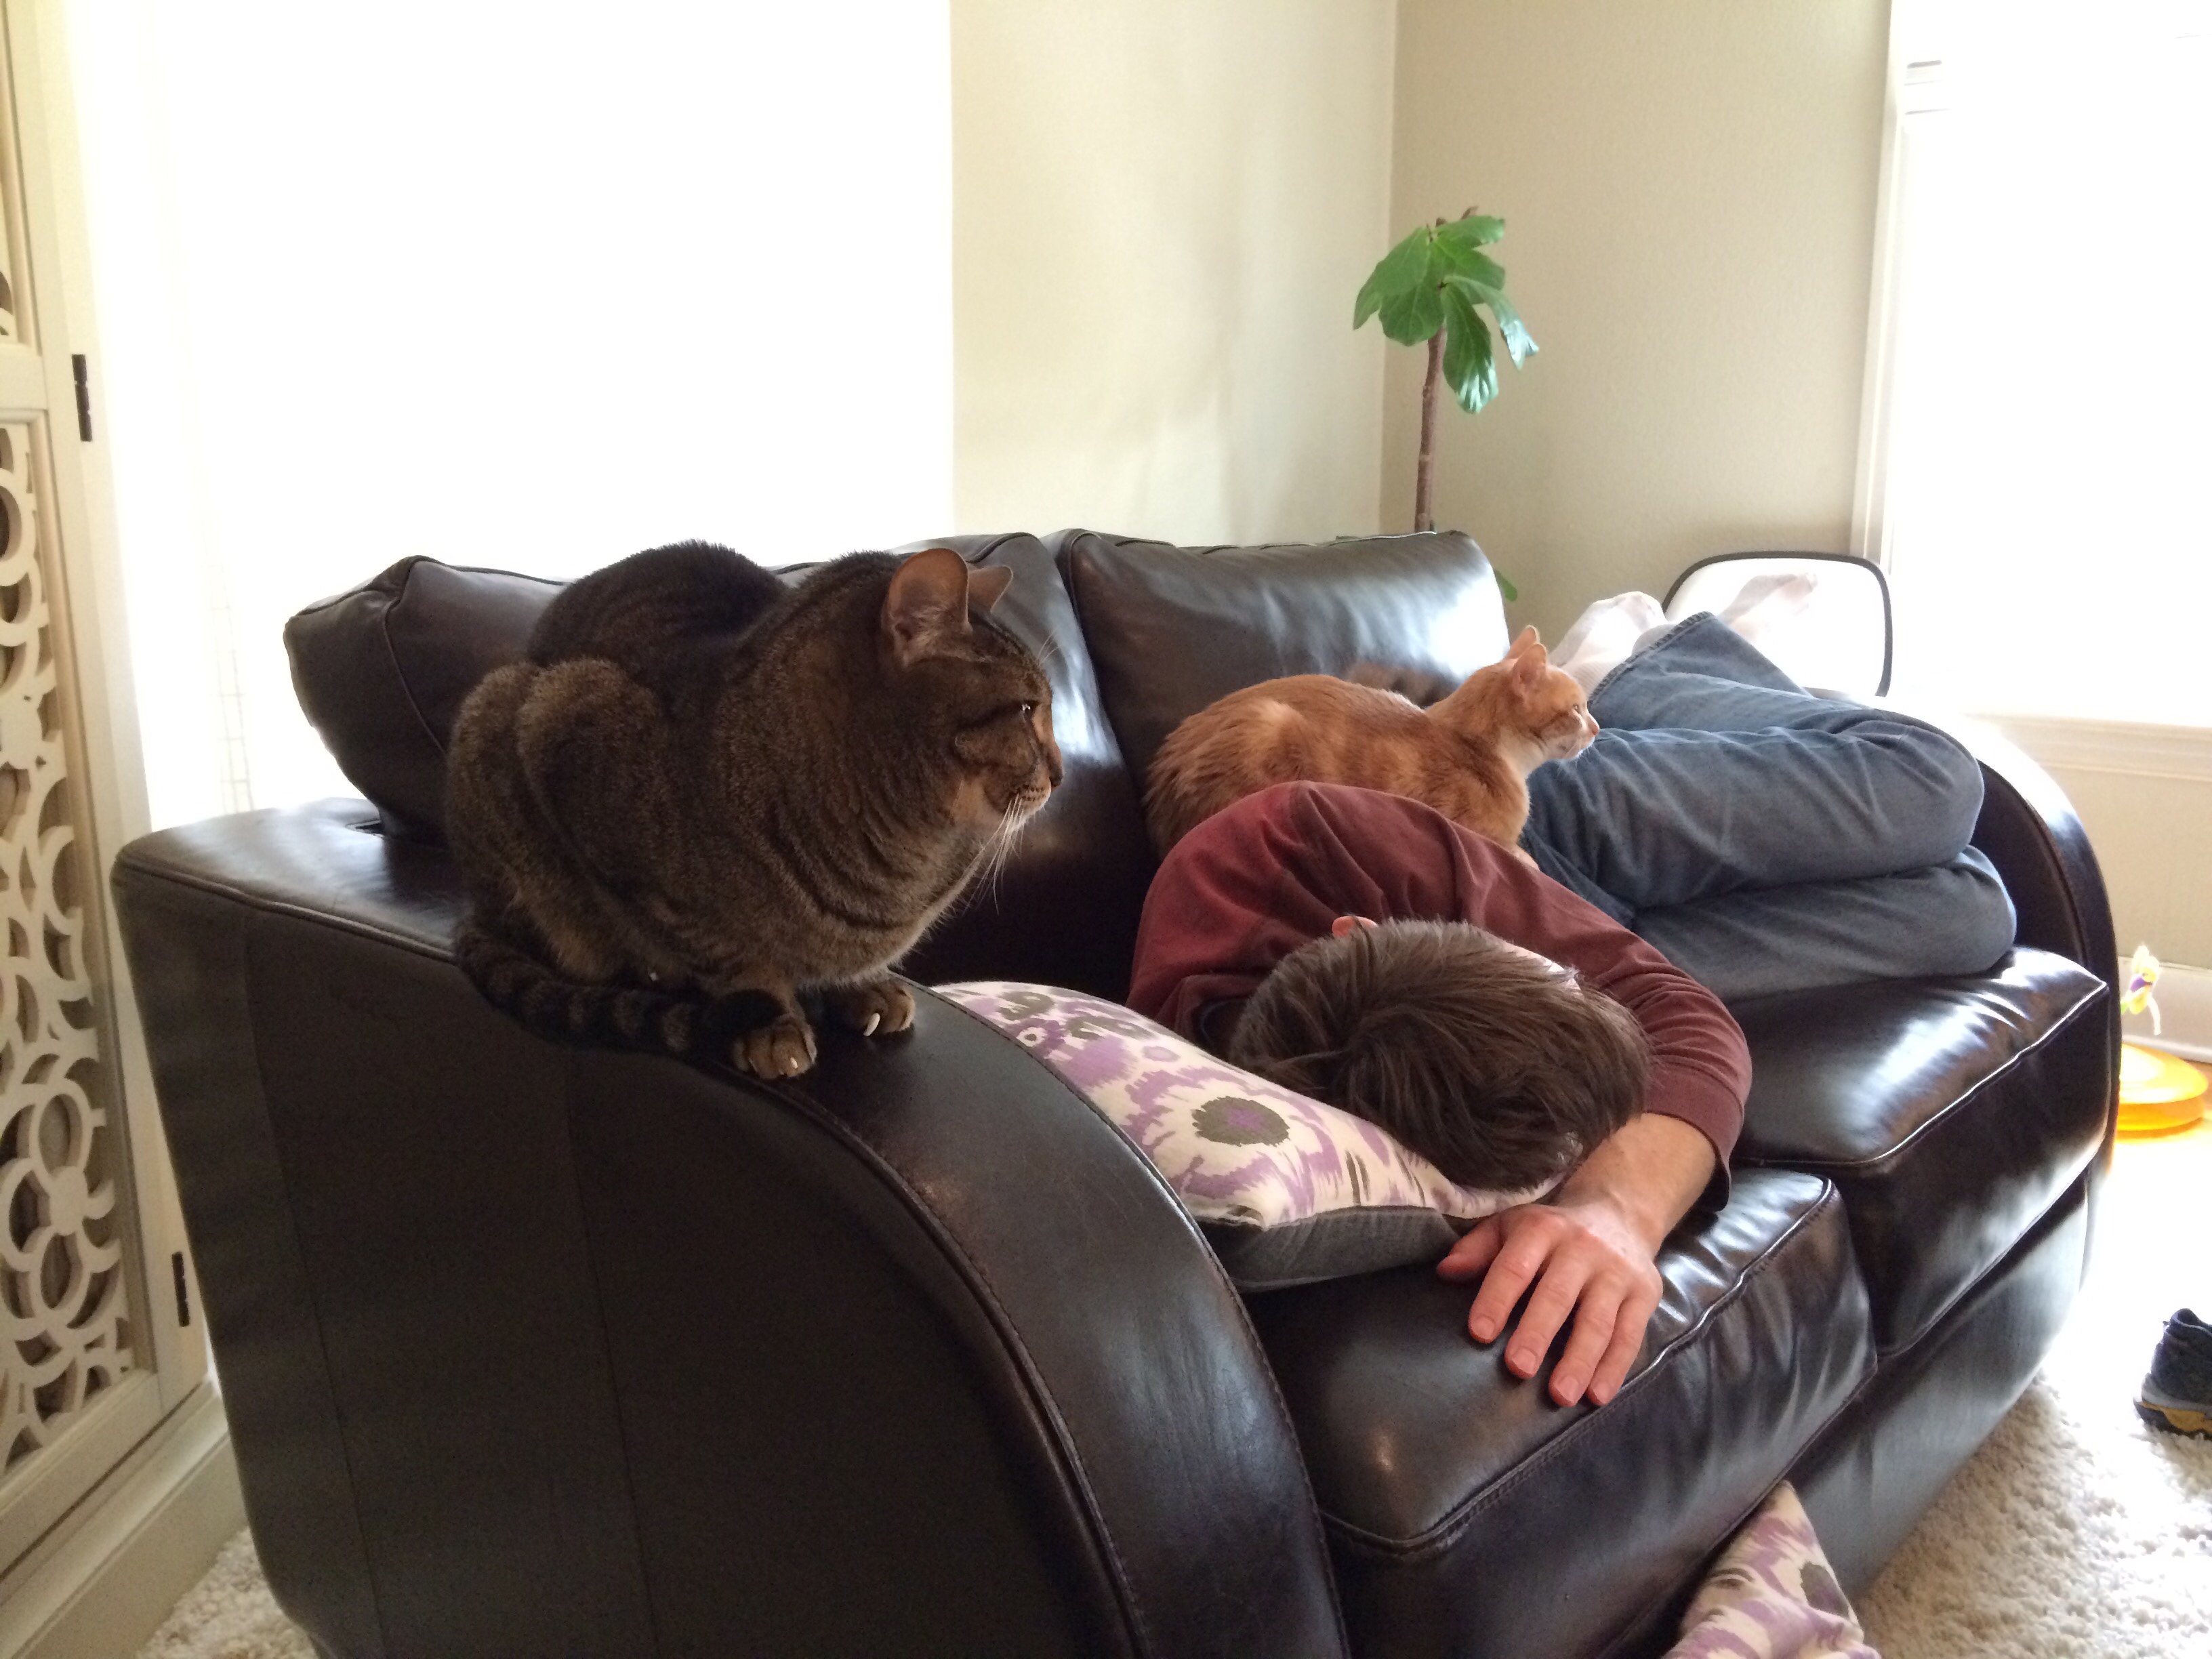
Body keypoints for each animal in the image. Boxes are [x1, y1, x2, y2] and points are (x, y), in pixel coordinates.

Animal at [446, 541, 1062, 1079]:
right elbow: (729, 958)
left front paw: (862, 985)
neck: (906, 845)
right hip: (501, 716)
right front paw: (770, 1022)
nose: (1061, 774)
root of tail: (476, 905)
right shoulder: (571, 738)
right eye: (1025, 709)